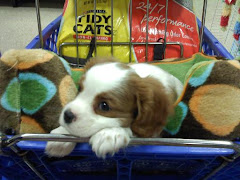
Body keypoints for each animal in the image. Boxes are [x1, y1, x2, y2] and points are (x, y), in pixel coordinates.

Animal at [46, 57, 183, 158]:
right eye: (79, 88)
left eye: (104, 106)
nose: (67, 115)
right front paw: (61, 135)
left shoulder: (152, 132)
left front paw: (110, 134)